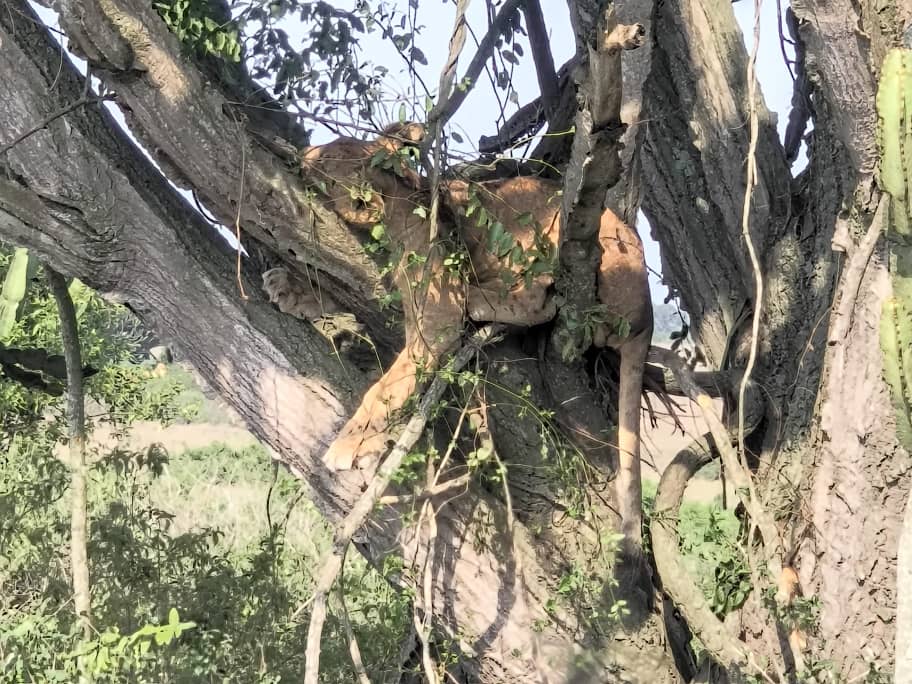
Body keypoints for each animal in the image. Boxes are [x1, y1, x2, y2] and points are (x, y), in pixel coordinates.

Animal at [265, 124, 652, 542]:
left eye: (330, 156)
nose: (297, 152)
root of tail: (646, 313)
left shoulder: (437, 315)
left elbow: (386, 387)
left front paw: (350, 443)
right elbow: (330, 287)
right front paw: (288, 287)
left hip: (563, 236)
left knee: (546, 303)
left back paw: (489, 297)